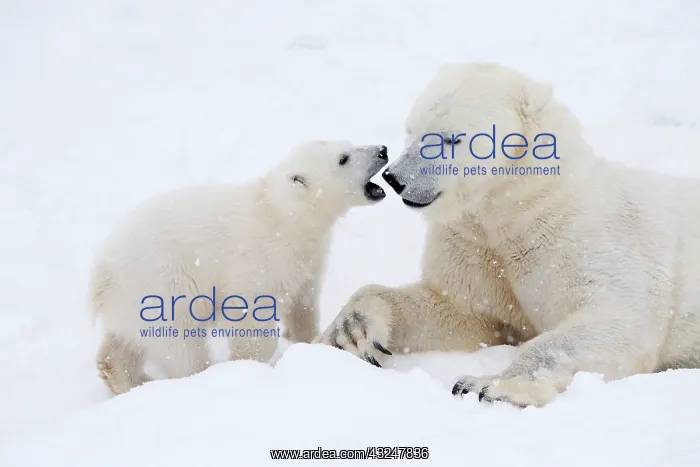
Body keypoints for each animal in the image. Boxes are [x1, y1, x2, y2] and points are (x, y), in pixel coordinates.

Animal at [91, 140, 388, 394]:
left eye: (349, 143)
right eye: (343, 158)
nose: (382, 150)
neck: (280, 215)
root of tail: (102, 276)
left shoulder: (309, 262)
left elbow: (303, 305)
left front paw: (309, 341)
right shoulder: (256, 263)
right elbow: (251, 319)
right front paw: (245, 361)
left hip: (129, 303)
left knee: (124, 343)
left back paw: (130, 379)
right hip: (161, 288)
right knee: (181, 345)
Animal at [316, 63, 700, 407]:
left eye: (450, 138)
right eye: (412, 129)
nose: (395, 178)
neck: (520, 205)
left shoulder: (589, 235)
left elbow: (617, 320)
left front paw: (486, 385)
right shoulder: (472, 243)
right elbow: (460, 309)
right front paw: (353, 333)